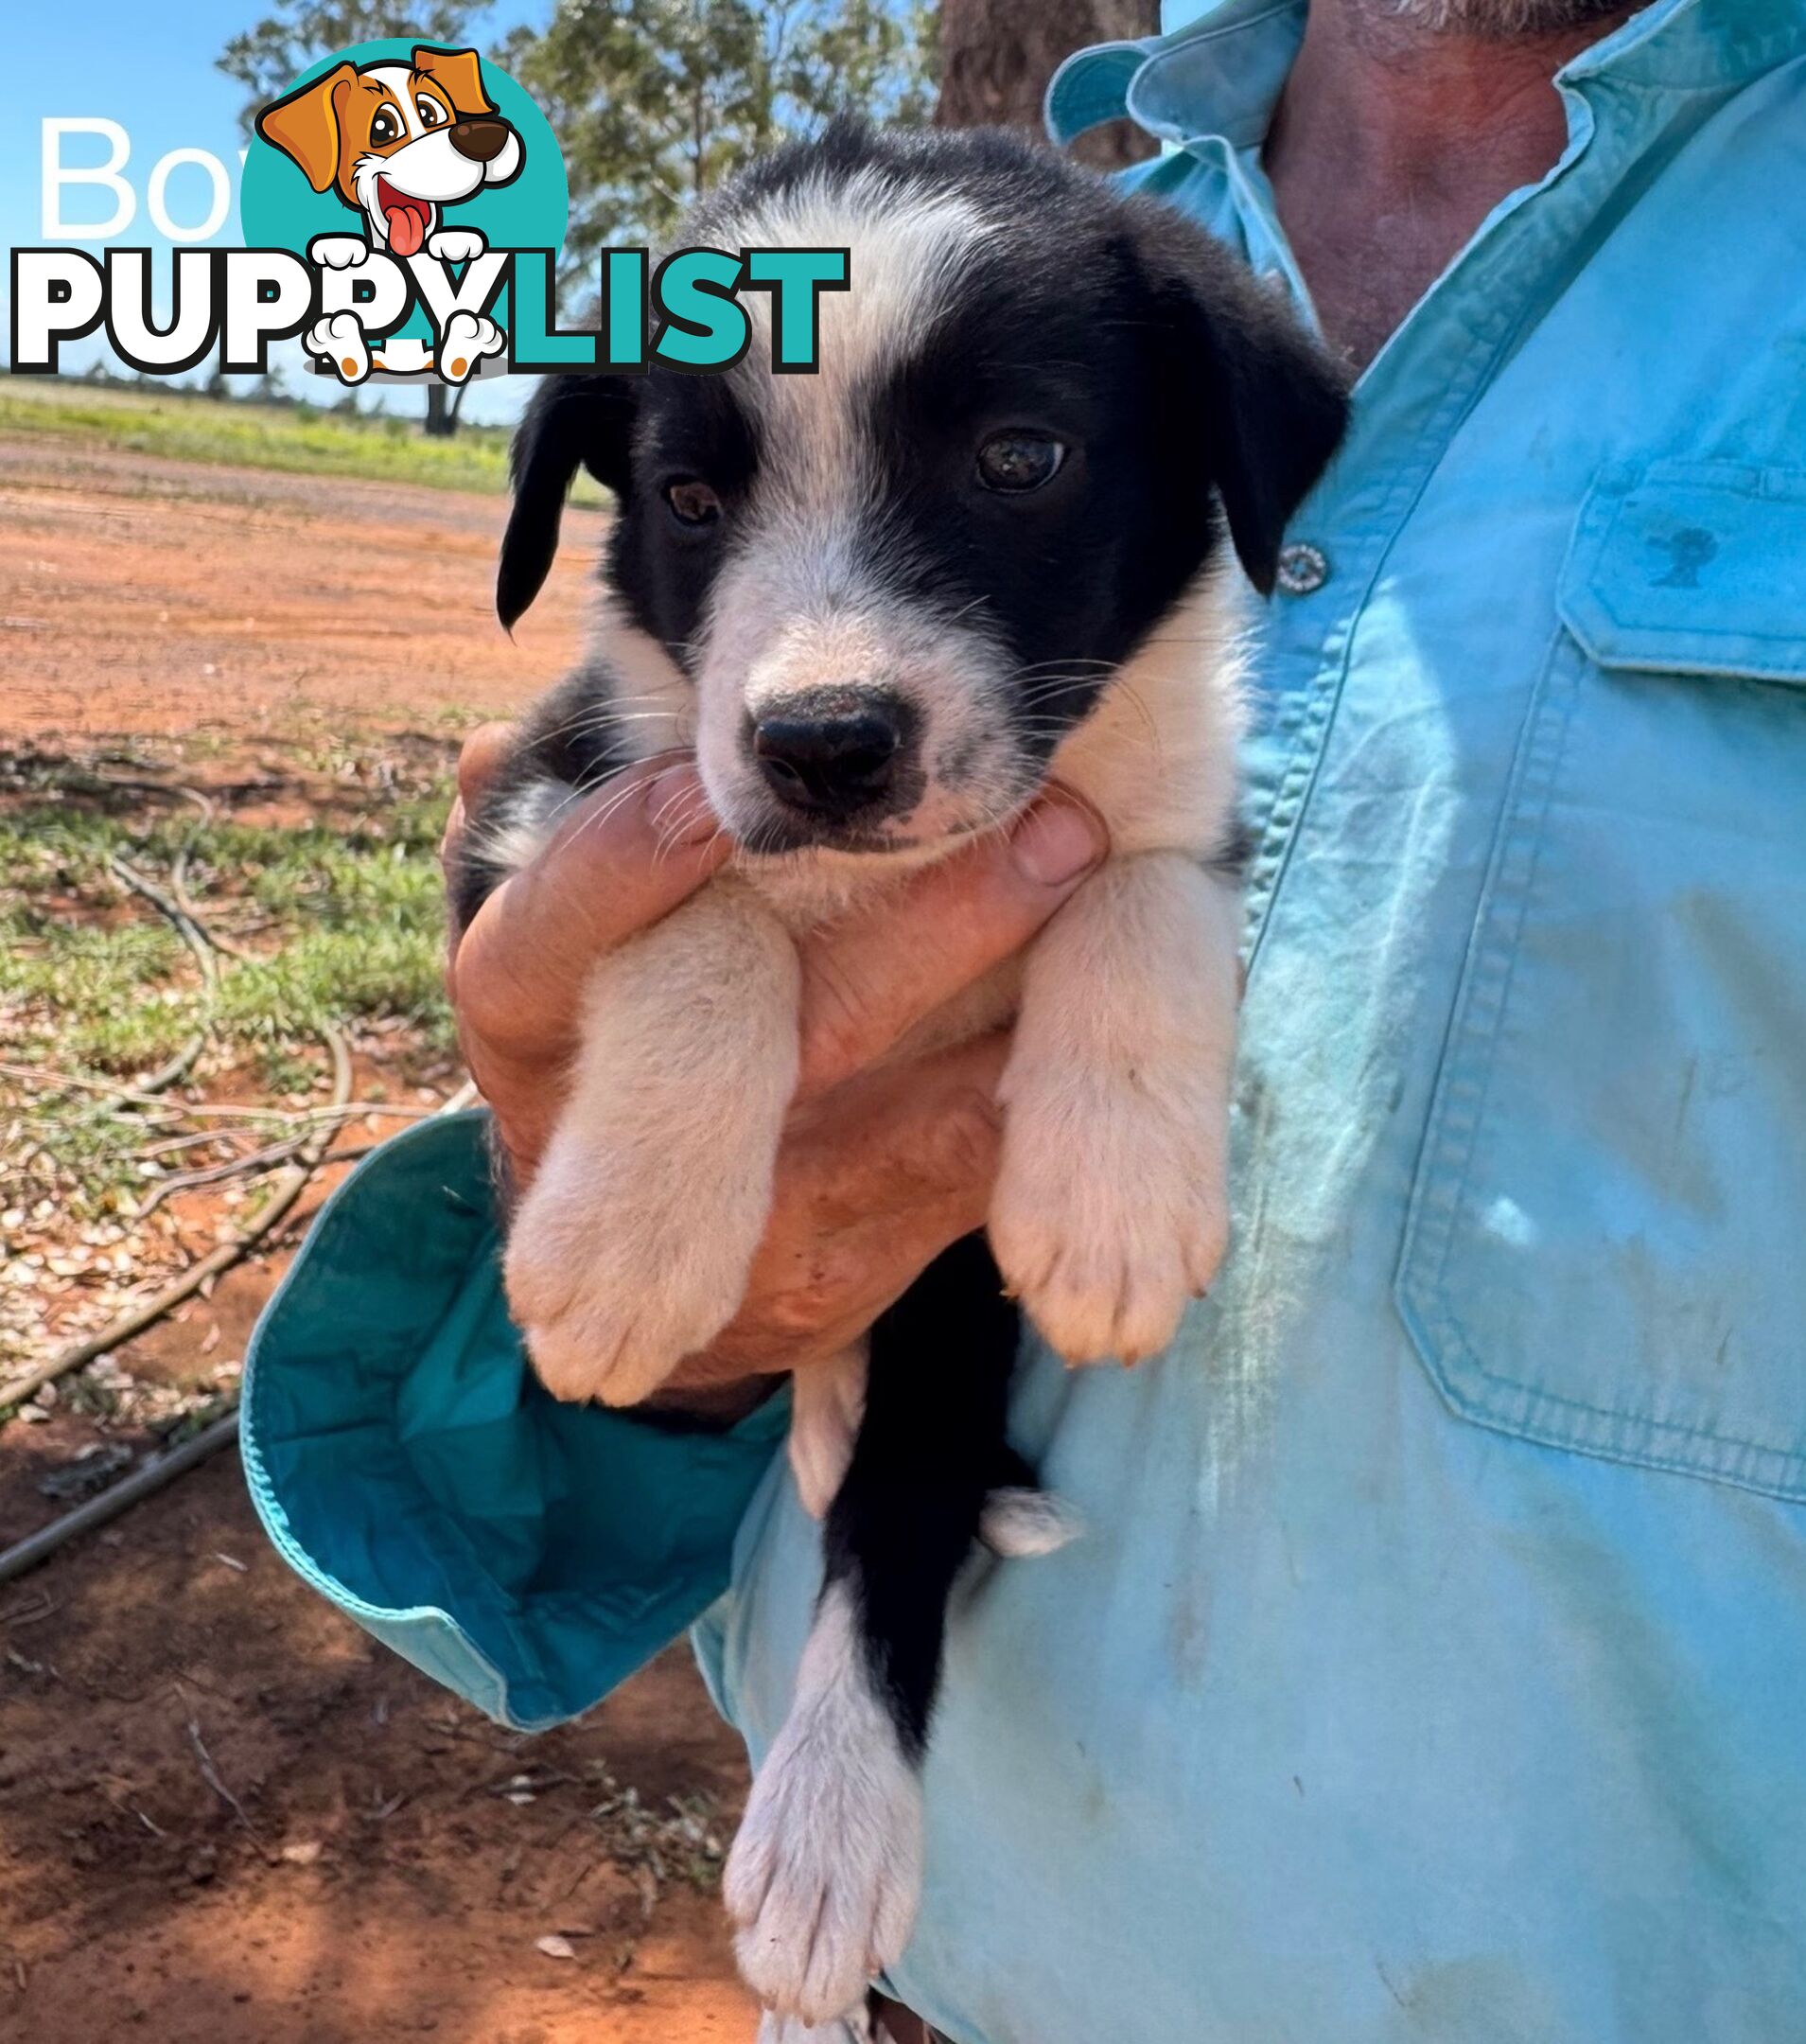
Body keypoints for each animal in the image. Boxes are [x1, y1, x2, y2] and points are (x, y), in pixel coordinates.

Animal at [457, 123, 1348, 2044]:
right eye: (687, 500)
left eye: (1019, 459)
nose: (819, 744)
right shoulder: (542, 816)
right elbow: (713, 906)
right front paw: (624, 1246)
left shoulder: (1171, 812)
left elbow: (1134, 886)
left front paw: (1111, 1200)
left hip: (945, 1289)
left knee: (902, 1500)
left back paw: (829, 1835)